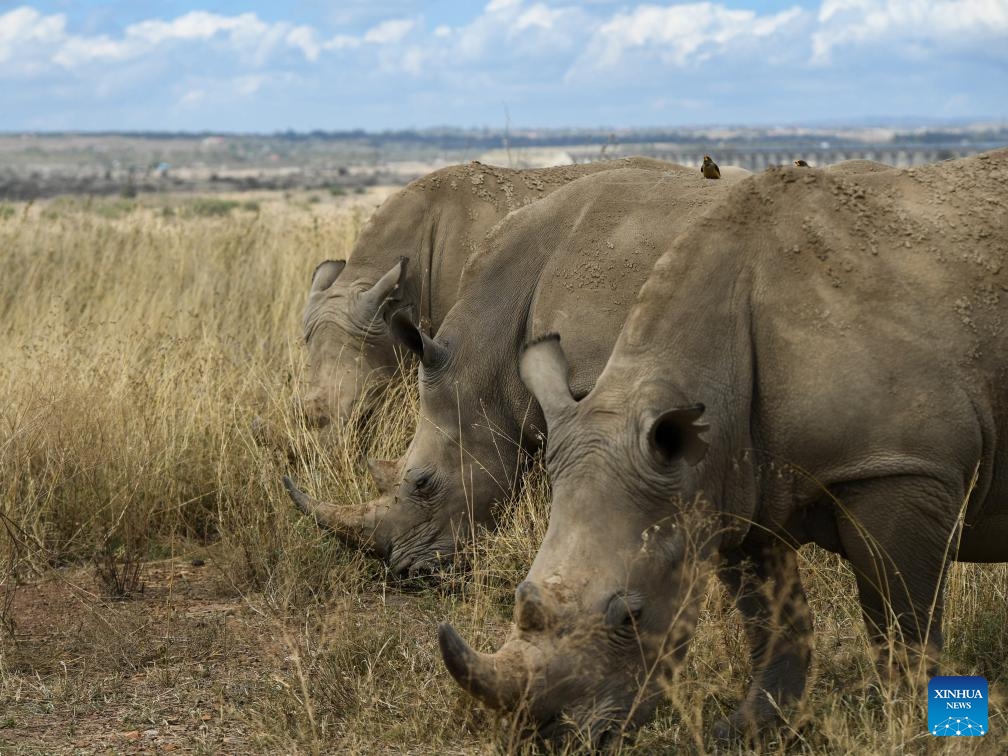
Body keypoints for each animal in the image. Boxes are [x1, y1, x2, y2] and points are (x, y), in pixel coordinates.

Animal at [439, 151, 1008, 749]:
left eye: (630, 617)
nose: (550, 739)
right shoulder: (727, 482)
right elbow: (770, 617)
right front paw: (748, 731)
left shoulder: (901, 467)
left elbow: (900, 609)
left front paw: (905, 724)